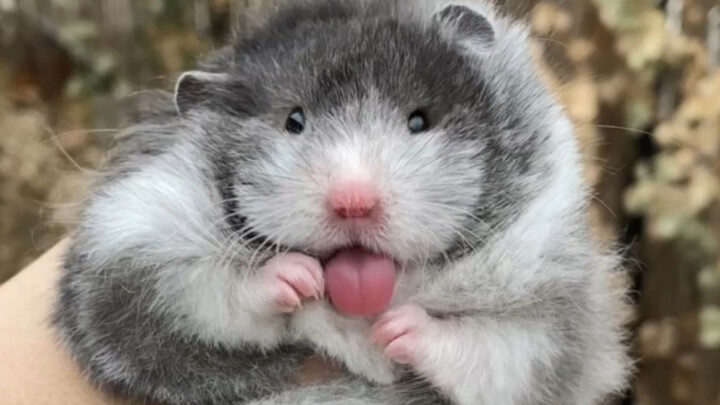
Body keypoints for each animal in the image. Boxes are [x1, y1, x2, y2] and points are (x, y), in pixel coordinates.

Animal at [53, 1, 632, 404]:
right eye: (293, 120)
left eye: (419, 119)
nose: (354, 203)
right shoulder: (127, 252)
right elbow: (208, 290)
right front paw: (299, 281)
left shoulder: (562, 322)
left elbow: (504, 349)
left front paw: (395, 332)